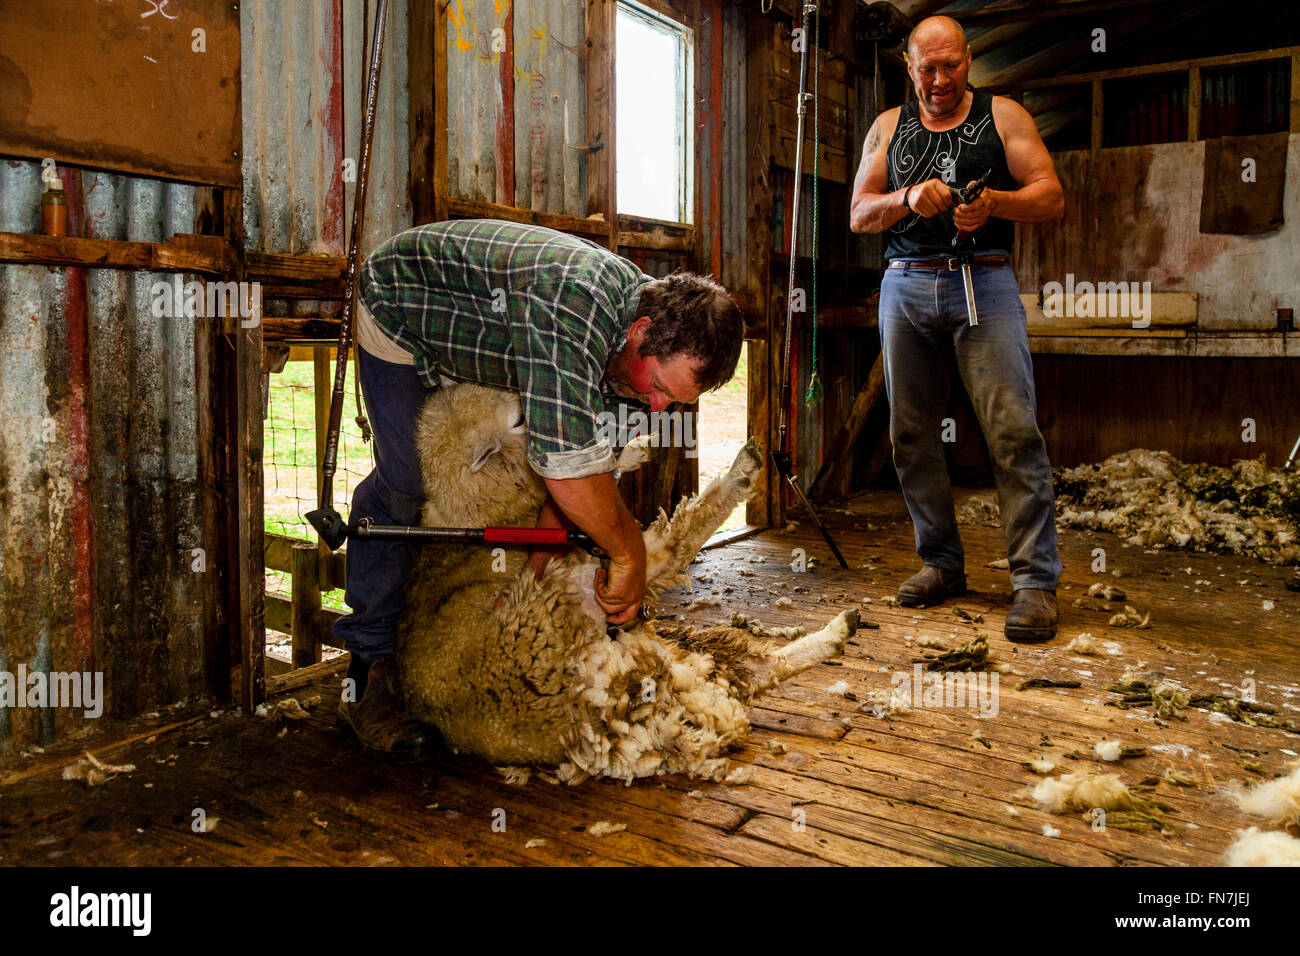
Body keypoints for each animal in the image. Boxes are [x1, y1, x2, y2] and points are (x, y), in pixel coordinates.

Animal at [395, 382, 863, 785]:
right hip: (583, 583)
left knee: (757, 671)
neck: (484, 509)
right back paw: (742, 471)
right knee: (678, 543)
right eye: (519, 419)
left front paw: (635, 450)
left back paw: (838, 631)